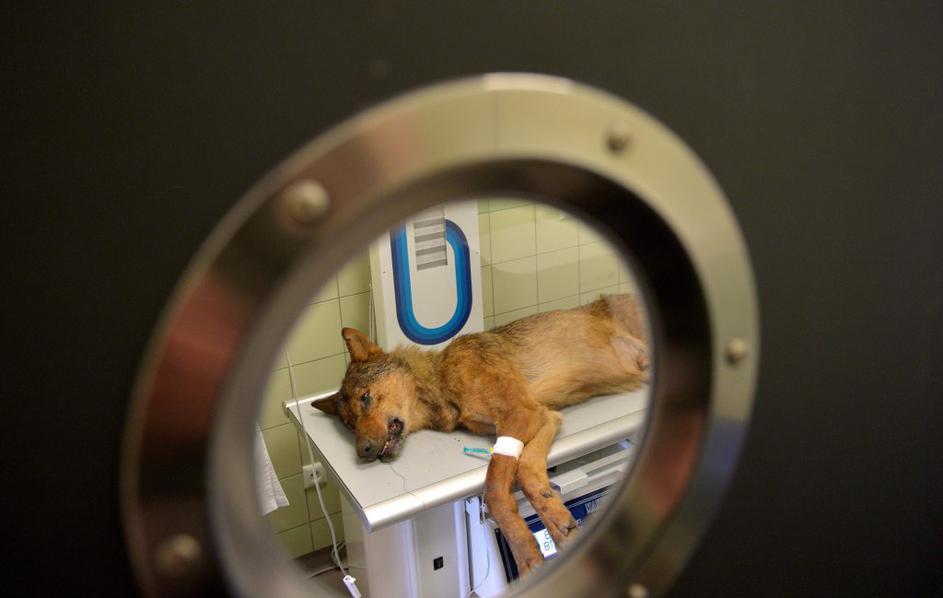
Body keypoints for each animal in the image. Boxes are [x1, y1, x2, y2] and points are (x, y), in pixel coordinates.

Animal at [313, 293, 649, 576]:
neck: (442, 381)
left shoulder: (520, 414)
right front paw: (555, 518)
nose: (364, 452)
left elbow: (496, 491)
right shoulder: (543, 417)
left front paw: (526, 552)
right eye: (350, 425)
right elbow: (528, 473)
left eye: (366, 398)